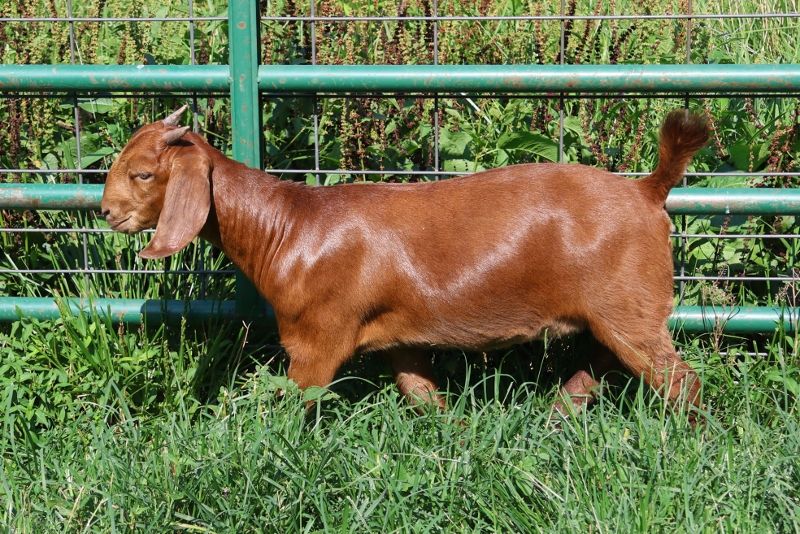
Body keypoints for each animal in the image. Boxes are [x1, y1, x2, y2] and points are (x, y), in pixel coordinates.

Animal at [100, 106, 709, 419]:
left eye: (144, 173)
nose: (106, 212)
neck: (289, 227)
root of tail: (648, 190)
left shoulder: (318, 337)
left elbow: (293, 401)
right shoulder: (398, 336)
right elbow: (421, 392)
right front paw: (452, 436)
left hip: (629, 306)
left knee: (680, 380)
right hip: (614, 312)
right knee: (603, 366)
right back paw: (557, 414)